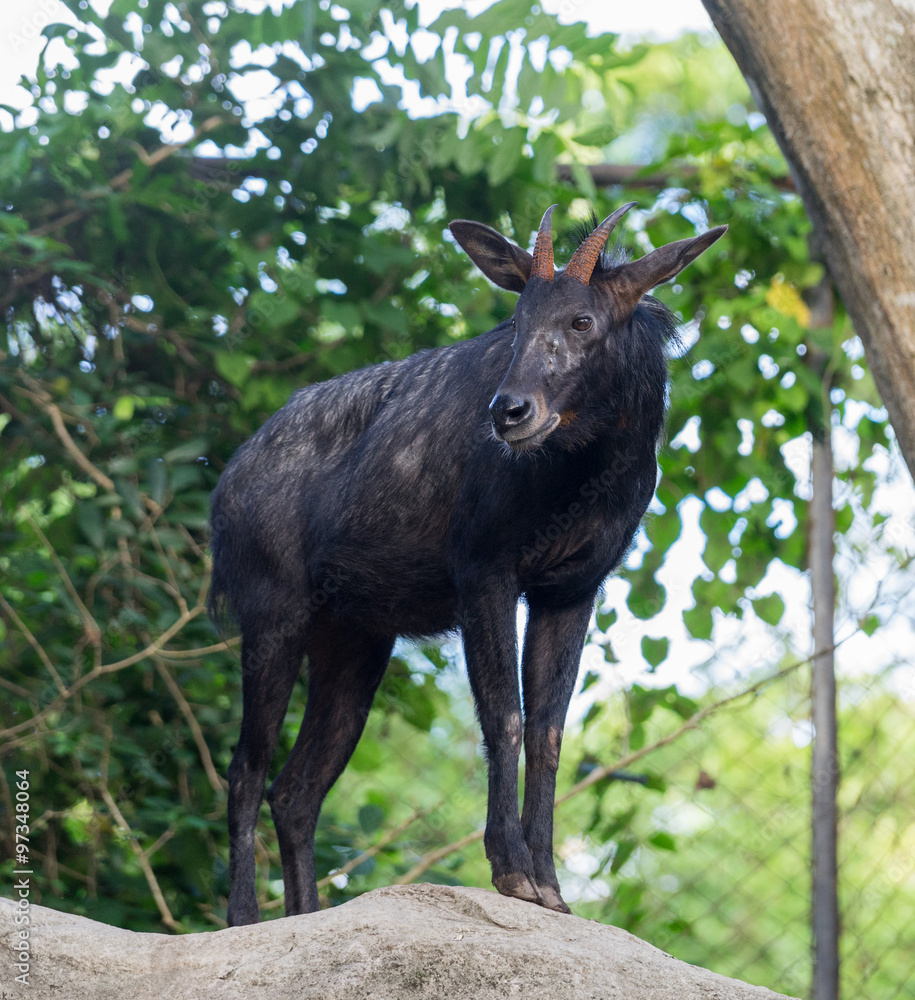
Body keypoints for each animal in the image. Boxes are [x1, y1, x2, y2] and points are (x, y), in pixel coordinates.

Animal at [209, 204, 726, 924]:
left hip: (354, 641)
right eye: (517, 321)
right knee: (245, 770)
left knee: (296, 791)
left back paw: (307, 916)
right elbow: (502, 717)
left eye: (582, 320)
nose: (509, 411)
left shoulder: (571, 590)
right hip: (272, 616)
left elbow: (548, 731)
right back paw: (241, 920)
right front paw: (512, 873)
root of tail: (224, 488)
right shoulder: (484, 574)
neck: (587, 472)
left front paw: (552, 888)